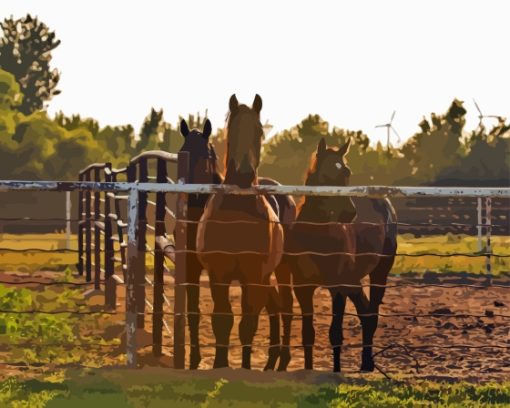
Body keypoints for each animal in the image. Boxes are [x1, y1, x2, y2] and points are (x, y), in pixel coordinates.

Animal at [179, 102, 292, 370]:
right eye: (182, 153)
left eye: (207, 156)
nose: (190, 193)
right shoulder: (202, 270)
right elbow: (204, 315)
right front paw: (200, 361)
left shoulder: (251, 274)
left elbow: (246, 322)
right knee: (274, 306)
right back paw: (271, 361)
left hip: (282, 269)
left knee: (285, 306)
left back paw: (282, 360)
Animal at [274, 138, 398, 372]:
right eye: (326, 173)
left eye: (347, 171)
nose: (350, 213)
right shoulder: (303, 287)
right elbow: (308, 334)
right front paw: (308, 369)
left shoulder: (338, 288)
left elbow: (335, 334)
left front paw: (337, 371)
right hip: (353, 279)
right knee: (365, 313)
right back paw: (366, 362)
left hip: (378, 273)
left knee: (372, 314)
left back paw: (367, 363)